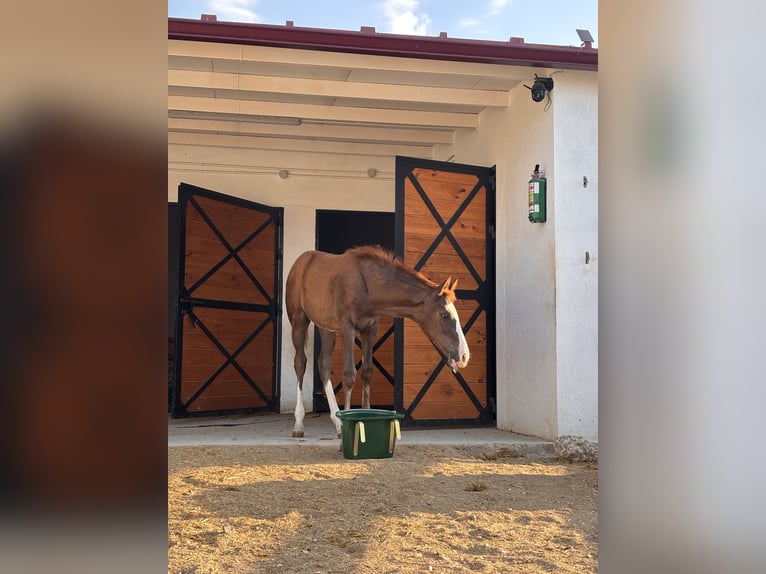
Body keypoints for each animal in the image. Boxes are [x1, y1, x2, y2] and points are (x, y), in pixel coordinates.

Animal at [285, 245, 470, 438]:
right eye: (445, 315)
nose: (464, 356)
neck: (367, 287)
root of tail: (301, 261)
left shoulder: (370, 328)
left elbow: (367, 372)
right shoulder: (347, 327)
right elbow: (349, 375)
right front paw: (347, 426)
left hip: (326, 327)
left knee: (324, 364)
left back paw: (336, 422)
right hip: (299, 321)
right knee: (300, 362)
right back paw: (299, 424)